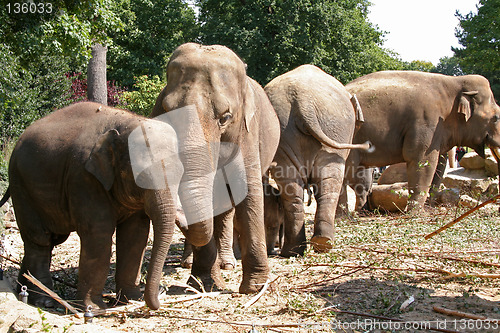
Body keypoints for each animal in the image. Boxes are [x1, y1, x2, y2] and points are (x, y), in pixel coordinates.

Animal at [0, 102, 213, 310]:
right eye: (141, 177)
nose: (161, 296)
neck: (125, 124)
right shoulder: (83, 177)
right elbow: (98, 233)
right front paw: (93, 308)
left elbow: (135, 235)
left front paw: (131, 300)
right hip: (22, 187)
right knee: (40, 241)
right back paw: (44, 301)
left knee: (52, 239)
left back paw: (24, 290)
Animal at [150, 43, 282, 294]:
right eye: (166, 111)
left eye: (225, 117)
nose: (178, 216)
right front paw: (203, 284)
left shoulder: (248, 131)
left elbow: (247, 189)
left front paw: (254, 287)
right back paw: (193, 263)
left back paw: (228, 263)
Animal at [264, 65, 374, 256]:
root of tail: (304, 101)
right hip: (335, 128)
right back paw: (319, 244)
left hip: (295, 130)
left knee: (293, 188)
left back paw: (302, 248)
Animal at [342, 70, 500, 210]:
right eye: (496, 118)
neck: (455, 82)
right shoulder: (426, 122)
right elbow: (421, 160)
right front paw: (415, 212)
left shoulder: (439, 129)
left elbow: (439, 164)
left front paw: (428, 206)